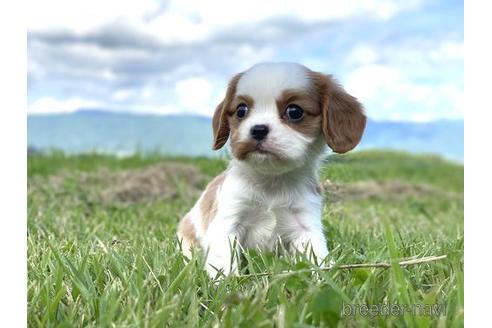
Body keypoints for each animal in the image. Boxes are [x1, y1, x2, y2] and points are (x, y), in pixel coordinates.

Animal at [178, 62, 366, 276]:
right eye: (241, 110)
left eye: (294, 111)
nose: (258, 129)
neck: (271, 180)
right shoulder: (228, 220)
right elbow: (223, 262)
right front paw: (225, 283)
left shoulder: (305, 224)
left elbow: (317, 257)